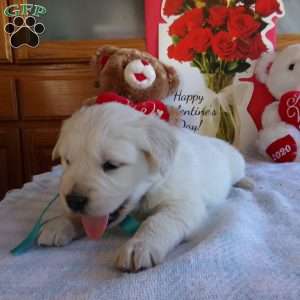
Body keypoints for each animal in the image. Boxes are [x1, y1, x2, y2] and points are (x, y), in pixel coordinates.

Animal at [38, 103, 247, 272]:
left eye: (111, 165)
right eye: (67, 161)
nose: (73, 200)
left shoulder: (184, 204)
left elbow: (158, 221)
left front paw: (139, 246)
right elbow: (78, 217)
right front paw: (59, 224)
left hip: (237, 162)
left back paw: (245, 183)